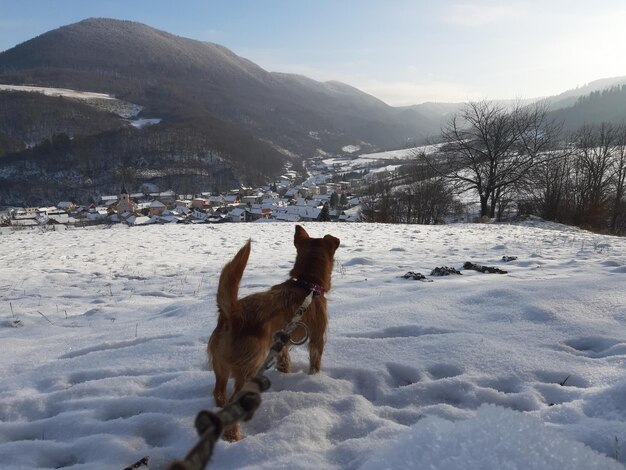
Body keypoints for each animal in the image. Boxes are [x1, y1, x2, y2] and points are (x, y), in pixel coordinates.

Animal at [208, 225, 336, 440]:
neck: (307, 284)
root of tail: (233, 314)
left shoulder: (280, 342)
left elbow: (284, 361)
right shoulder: (317, 339)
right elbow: (315, 362)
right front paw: (315, 378)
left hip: (221, 368)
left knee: (219, 393)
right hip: (250, 368)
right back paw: (234, 436)